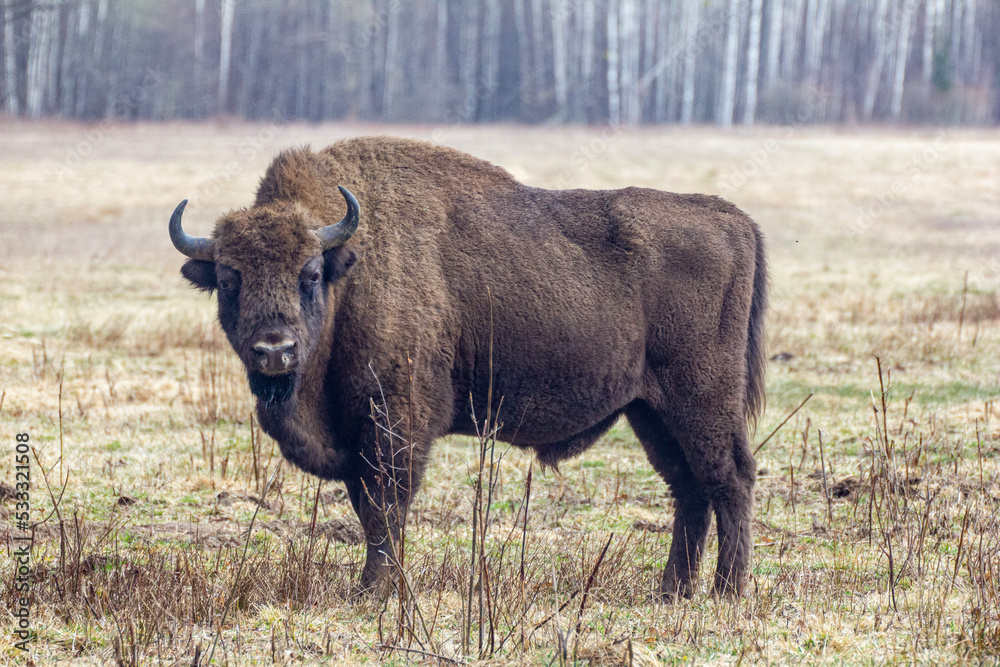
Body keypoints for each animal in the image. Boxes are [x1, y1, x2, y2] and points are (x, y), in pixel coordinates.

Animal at [170, 136, 764, 600]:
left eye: (310, 274)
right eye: (229, 279)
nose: (275, 350)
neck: (353, 273)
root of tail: (732, 220)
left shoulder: (395, 422)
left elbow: (385, 506)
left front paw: (375, 591)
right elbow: (369, 508)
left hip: (702, 399)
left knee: (729, 476)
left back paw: (727, 592)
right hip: (650, 410)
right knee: (689, 486)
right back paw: (672, 591)